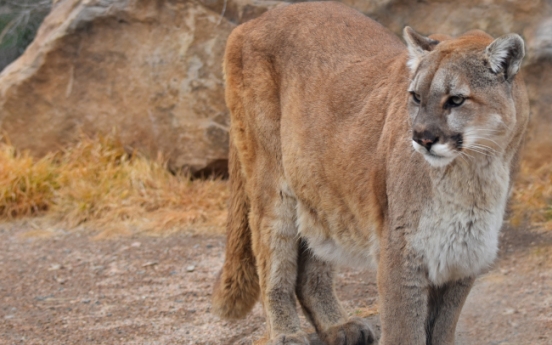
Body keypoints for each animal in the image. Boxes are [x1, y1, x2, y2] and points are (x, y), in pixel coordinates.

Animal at [212, 1, 532, 342]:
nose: (421, 137)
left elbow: (442, 329)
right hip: (273, 185)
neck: (472, 172)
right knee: (272, 257)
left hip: (323, 190)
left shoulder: (464, 257)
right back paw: (287, 334)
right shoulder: (402, 253)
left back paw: (339, 326)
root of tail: (252, 22)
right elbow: (405, 331)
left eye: (456, 100)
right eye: (416, 96)